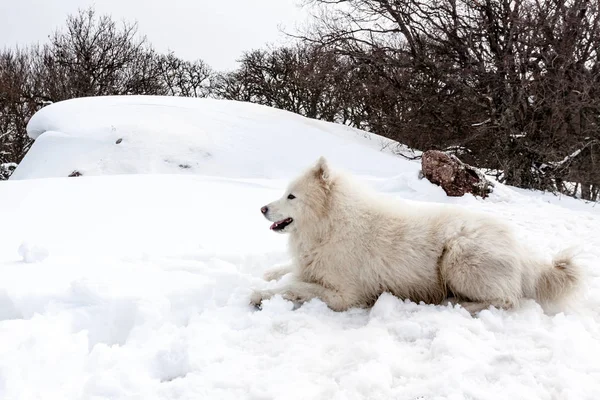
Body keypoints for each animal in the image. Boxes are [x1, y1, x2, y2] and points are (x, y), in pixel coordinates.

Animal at [252, 158, 580, 314]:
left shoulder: (345, 295)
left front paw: (260, 294)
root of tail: (525, 256)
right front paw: (268, 274)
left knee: (507, 301)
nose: (262, 208)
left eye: (291, 196)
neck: (330, 225)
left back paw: (456, 304)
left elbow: (295, 286)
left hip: (458, 258)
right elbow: (287, 272)